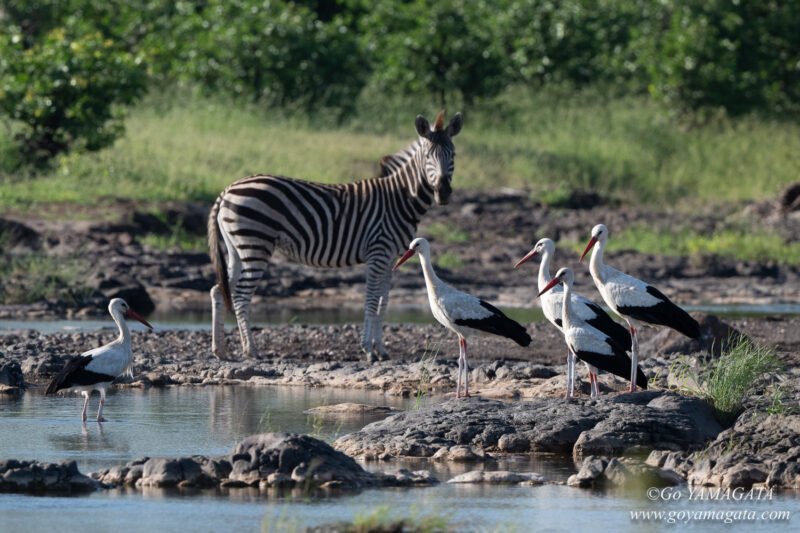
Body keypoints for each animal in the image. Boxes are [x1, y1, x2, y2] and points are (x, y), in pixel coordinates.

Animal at [206, 109, 462, 360]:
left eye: (453, 155)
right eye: (428, 156)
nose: (443, 192)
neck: (400, 199)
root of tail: (227, 190)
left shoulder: (390, 257)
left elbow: (383, 303)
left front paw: (381, 349)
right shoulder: (378, 252)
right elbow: (371, 302)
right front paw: (368, 350)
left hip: (236, 248)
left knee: (219, 290)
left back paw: (220, 350)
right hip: (255, 244)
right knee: (240, 296)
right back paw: (251, 350)